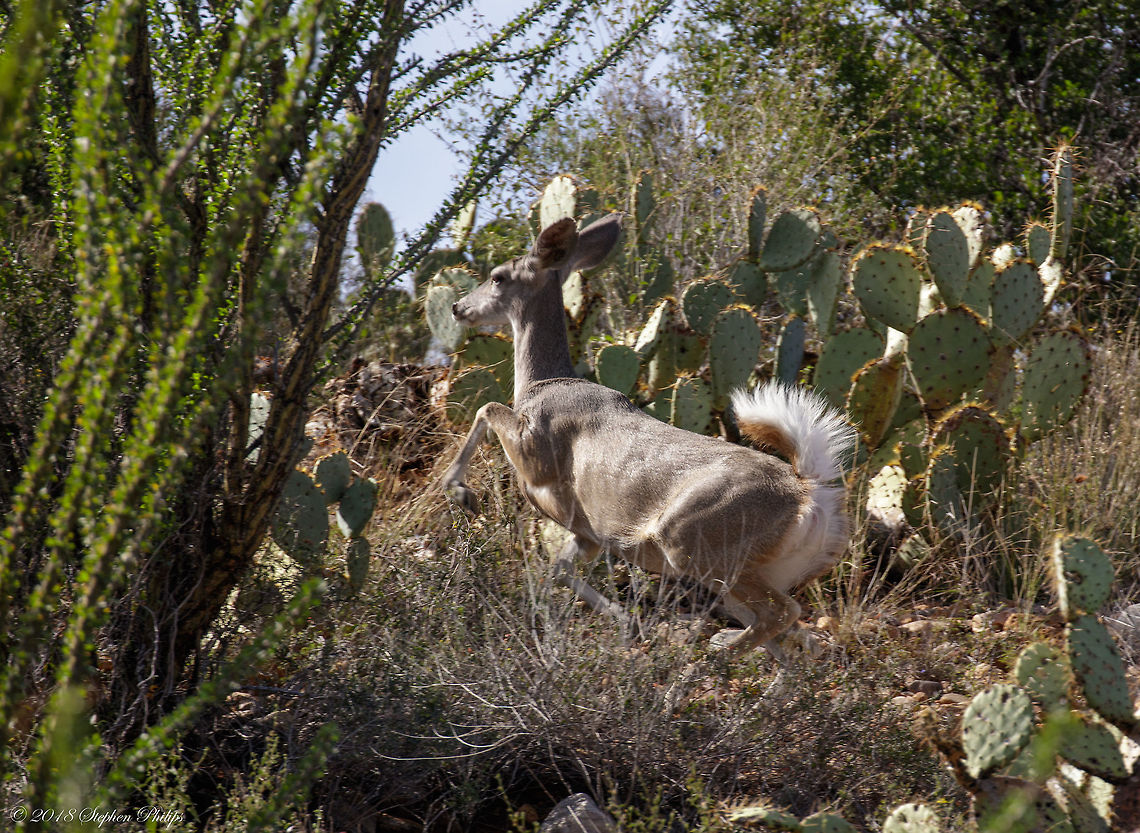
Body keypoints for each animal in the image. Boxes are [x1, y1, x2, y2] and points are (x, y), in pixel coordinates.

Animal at [441, 213, 856, 656]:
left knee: (783, 615)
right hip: (753, 568)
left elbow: (486, 408)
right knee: (793, 639)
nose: (458, 307)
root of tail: (809, 495)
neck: (542, 384)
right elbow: (560, 568)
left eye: (497, 277)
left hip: (695, 542)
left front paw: (460, 491)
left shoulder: (537, 453)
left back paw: (713, 652)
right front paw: (626, 621)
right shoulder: (587, 531)